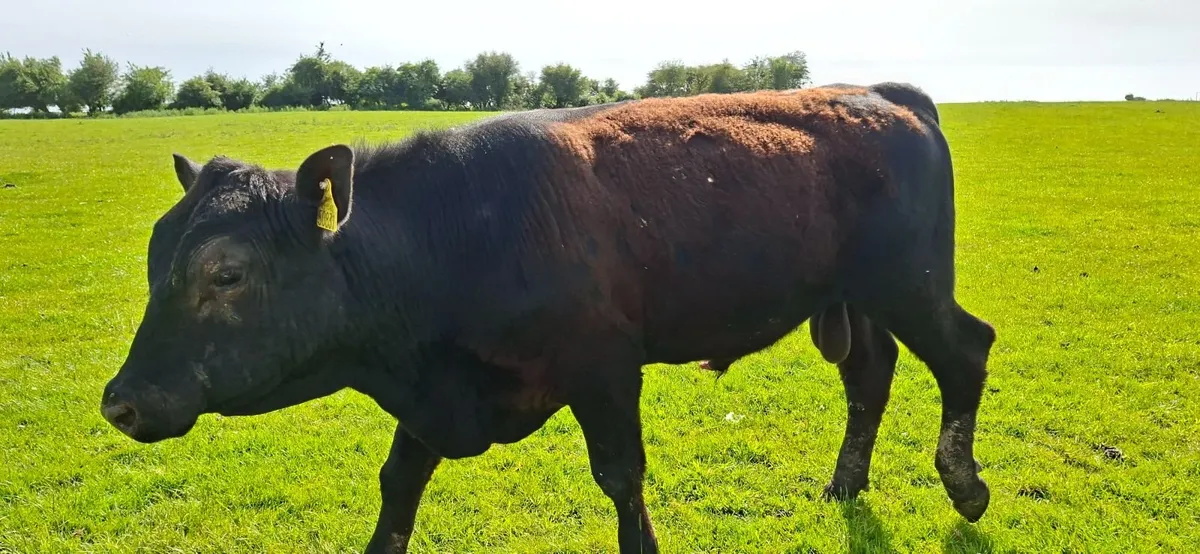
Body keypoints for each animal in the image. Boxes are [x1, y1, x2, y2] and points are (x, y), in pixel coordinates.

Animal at [99, 82, 996, 553]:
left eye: (226, 274)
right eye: (151, 257)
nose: (121, 402)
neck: (454, 232)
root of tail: (883, 94)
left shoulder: (603, 368)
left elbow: (621, 479)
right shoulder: (428, 388)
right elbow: (398, 485)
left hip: (911, 284)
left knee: (966, 352)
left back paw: (964, 486)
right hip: (858, 300)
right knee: (869, 376)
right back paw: (844, 483)